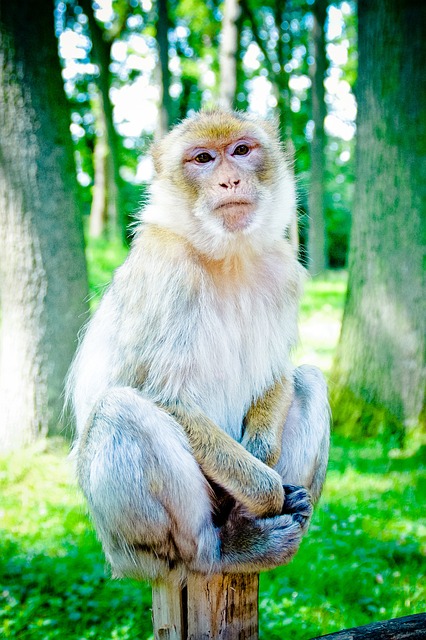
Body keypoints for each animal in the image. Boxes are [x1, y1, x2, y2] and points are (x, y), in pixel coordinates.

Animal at [68, 111, 332, 584]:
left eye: (241, 151)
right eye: (204, 158)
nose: (230, 180)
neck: (227, 257)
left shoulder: (285, 268)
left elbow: (278, 373)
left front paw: (261, 463)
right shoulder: (168, 271)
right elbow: (166, 398)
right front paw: (267, 493)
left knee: (311, 380)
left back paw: (248, 519)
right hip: (124, 544)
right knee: (120, 409)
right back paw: (226, 547)